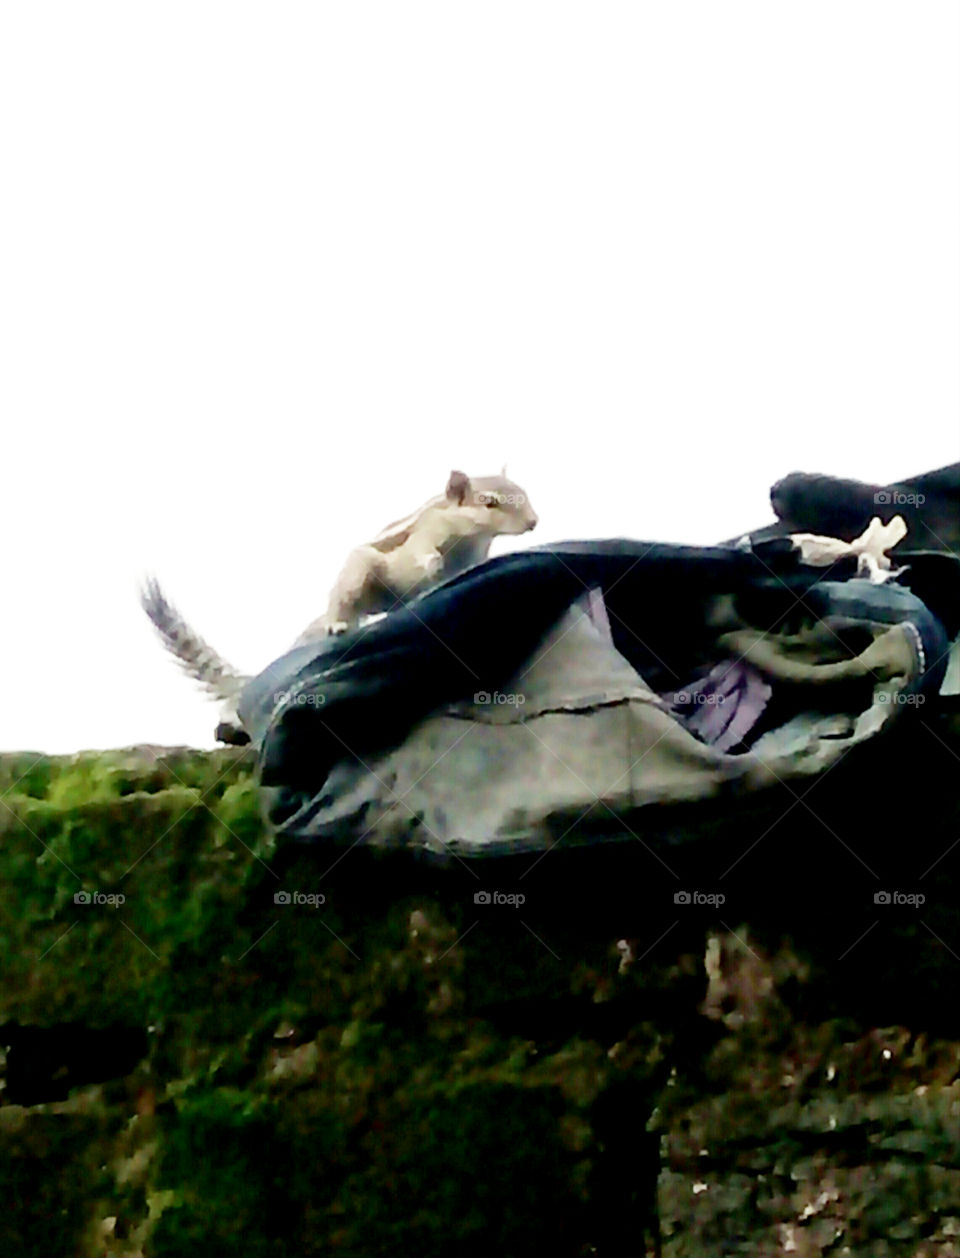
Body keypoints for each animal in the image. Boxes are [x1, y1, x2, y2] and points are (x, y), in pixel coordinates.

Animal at [142, 469, 537, 744]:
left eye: (523, 492)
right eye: (489, 502)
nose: (533, 522)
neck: (468, 538)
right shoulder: (423, 537)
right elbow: (422, 555)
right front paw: (433, 565)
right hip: (358, 574)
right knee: (343, 607)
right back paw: (336, 626)